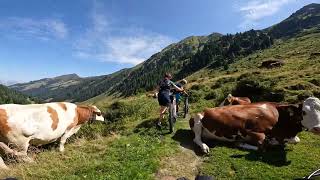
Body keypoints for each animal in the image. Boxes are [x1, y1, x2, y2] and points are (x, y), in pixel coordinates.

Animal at [190, 97, 320, 154]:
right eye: (304, 112)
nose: (317, 128)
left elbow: (296, 140)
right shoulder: (252, 131)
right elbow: (262, 146)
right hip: (197, 118)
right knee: (196, 138)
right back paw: (204, 146)